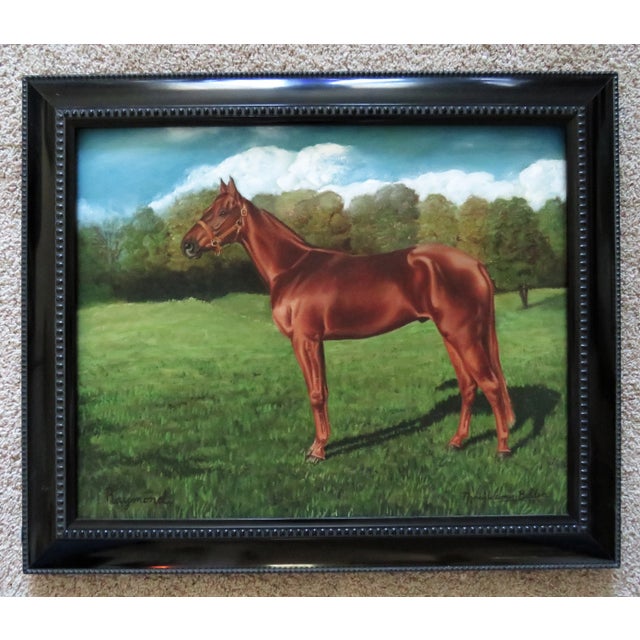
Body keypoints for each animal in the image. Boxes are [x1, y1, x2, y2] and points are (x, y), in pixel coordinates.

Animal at [182, 178, 515, 462]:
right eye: (208, 209)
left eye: (222, 211)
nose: (187, 245)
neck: (293, 268)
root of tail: (474, 264)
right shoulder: (313, 342)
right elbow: (321, 391)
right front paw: (320, 444)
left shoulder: (305, 339)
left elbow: (316, 394)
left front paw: (318, 451)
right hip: (451, 336)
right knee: (469, 386)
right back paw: (457, 442)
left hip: (462, 335)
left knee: (490, 384)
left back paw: (502, 449)